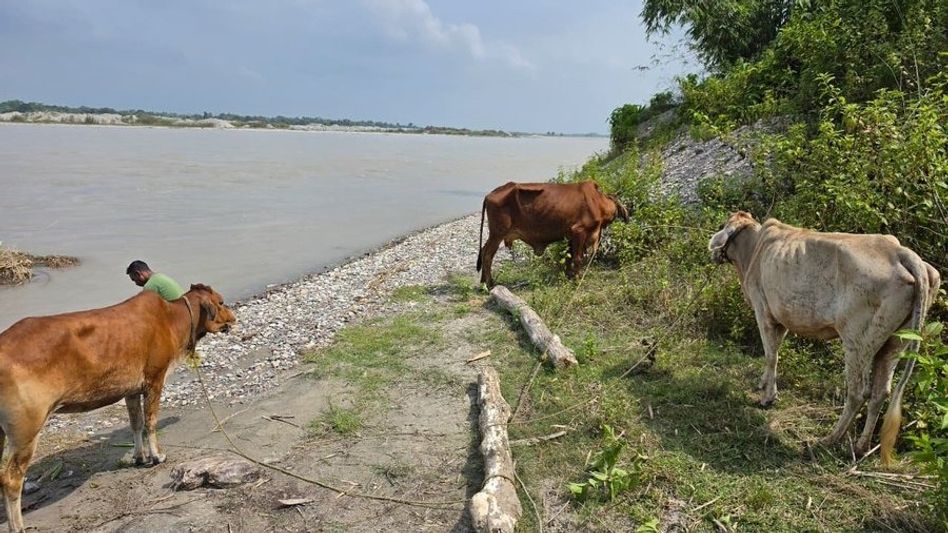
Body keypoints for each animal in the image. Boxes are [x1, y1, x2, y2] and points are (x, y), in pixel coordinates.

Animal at [0, 284, 235, 532]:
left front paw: (139, 457)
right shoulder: (155, 379)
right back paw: (18, 526)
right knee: (11, 480)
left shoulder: (131, 389)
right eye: (221, 302)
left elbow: (136, 423)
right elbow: (150, 421)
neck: (172, 317)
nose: (233, 317)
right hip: (27, 429)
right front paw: (157, 456)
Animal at [476, 181, 629, 287]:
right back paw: (490, 284)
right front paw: (577, 279)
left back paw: (484, 281)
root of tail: (490, 194)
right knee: (487, 255)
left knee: (483, 251)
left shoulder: (570, 235)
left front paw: (569, 275)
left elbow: (569, 257)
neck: (597, 202)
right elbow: (577, 258)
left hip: (494, 235)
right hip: (497, 234)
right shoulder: (579, 231)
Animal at [709, 212, 940, 464]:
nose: (713, 253)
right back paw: (860, 447)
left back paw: (830, 439)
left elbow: (771, 355)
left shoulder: (763, 311)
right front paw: (763, 384)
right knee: (880, 392)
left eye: (723, 225)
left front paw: (767, 398)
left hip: (857, 341)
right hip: (895, 342)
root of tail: (899, 252)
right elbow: (775, 351)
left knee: (858, 392)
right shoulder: (783, 318)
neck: (753, 250)